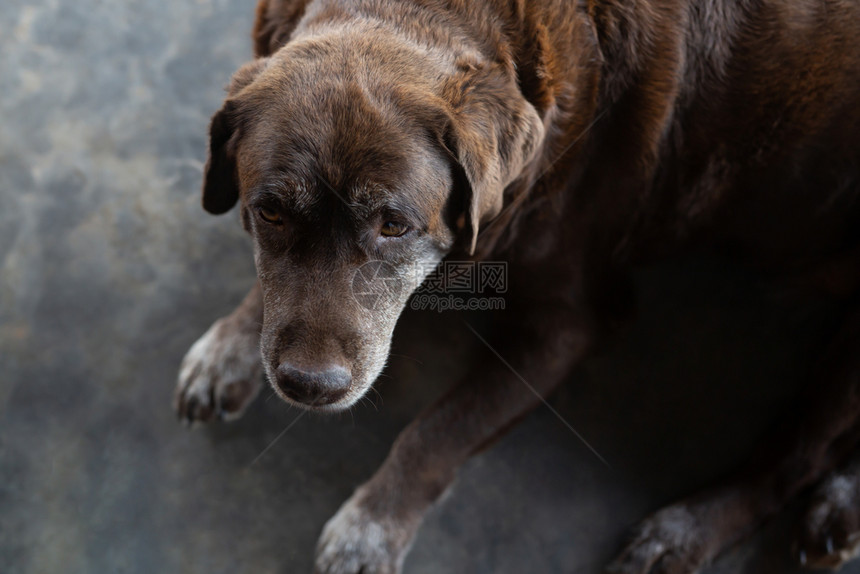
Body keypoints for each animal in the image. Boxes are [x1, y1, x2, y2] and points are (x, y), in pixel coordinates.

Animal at [173, 0, 860, 572]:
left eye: (393, 224)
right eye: (270, 211)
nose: (310, 387)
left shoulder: (570, 324)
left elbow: (440, 428)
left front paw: (370, 526)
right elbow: (271, 294)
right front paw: (230, 344)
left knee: (796, 460)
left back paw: (695, 531)